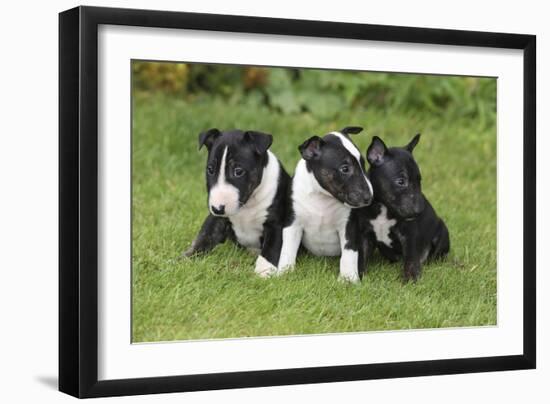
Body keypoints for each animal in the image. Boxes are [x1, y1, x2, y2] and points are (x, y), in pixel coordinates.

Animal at [184, 128, 294, 276]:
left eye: (238, 171)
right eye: (210, 169)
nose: (217, 208)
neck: (247, 204)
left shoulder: (275, 223)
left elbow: (271, 247)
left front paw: (263, 271)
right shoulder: (216, 219)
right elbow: (203, 238)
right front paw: (184, 260)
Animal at [276, 128, 376, 282]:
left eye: (363, 164)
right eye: (345, 169)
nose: (369, 197)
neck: (322, 197)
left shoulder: (348, 226)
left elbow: (349, 253)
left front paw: (348, 279)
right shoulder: (293, 223)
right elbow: (288, 249)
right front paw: (284, 273)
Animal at [362, 133, 452, 280]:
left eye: (419, 180)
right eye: (401, 181)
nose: (420, 211)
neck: (384, 209)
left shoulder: (409, 236)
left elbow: (411, 259)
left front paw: (410, 278)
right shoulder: (365, 234)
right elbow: (361, 256)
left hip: (442, 231)